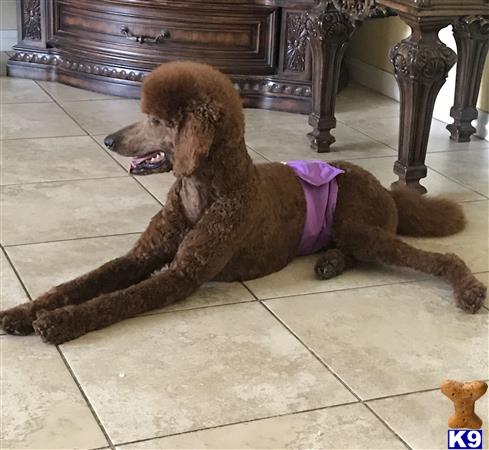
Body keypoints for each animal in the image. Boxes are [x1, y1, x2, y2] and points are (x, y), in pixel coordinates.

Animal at [0, 59, 484, 342]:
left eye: (156, 120)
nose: (107, 140)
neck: (208, 190)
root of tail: (386, 188)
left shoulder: (183, 273)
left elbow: (117, 300)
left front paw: (60, 322)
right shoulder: (142, 255)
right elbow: (81, 283)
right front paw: (25, 310)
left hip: (361, 226)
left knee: (439, 258)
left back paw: (469, 290)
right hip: (354, 232)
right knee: (352, 251)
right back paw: (329, 262)